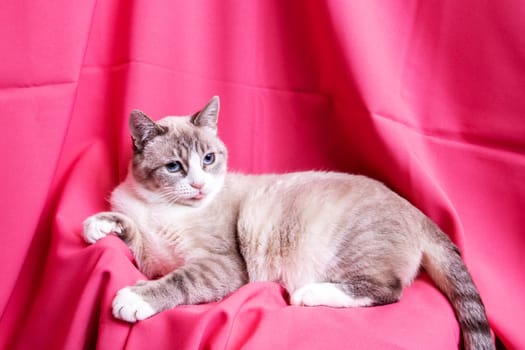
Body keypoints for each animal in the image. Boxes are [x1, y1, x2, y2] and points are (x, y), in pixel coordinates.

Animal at [84, 96, 494, 350]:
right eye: (174, 167)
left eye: (209, 159)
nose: (199, 185)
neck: (159, 206)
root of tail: (416, 211)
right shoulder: (152, 256)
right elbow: (128, 228)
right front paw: (97, 226)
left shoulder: (219, 265)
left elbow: (177, 281)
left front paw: (134, 298)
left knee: (388, 290)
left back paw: (307, 294)